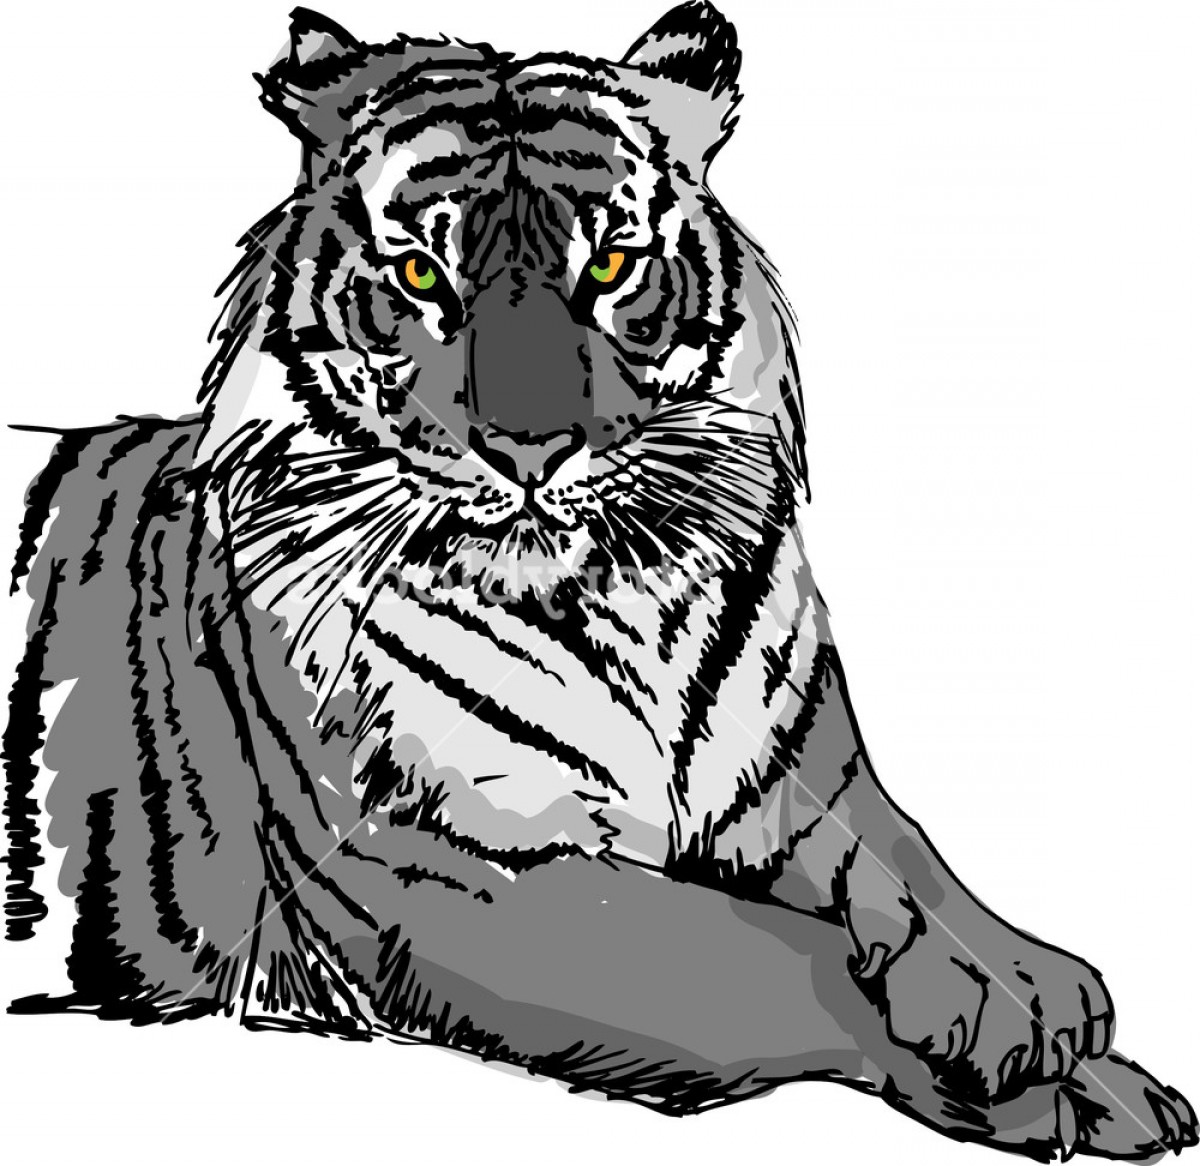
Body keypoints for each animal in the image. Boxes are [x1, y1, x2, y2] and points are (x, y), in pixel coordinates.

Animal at [3, 4, 1194, 1159]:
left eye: (612, 266)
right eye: (422, 274)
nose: (528, 449)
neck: (629, 598)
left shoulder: (799, 782)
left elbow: (913, 863)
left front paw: (1042, 1001)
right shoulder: (455, 875)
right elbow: (781, 956)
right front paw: (1041, 1089)